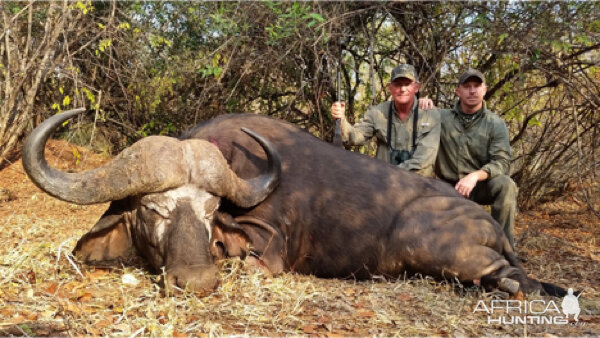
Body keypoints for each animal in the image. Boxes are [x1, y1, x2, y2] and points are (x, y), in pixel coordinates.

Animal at [23, 109, 568, 296]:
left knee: (518, 280)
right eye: (153, 209)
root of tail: (485, 223)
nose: (197, 282)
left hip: (437, 247)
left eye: (209, 212)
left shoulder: (267, 251)